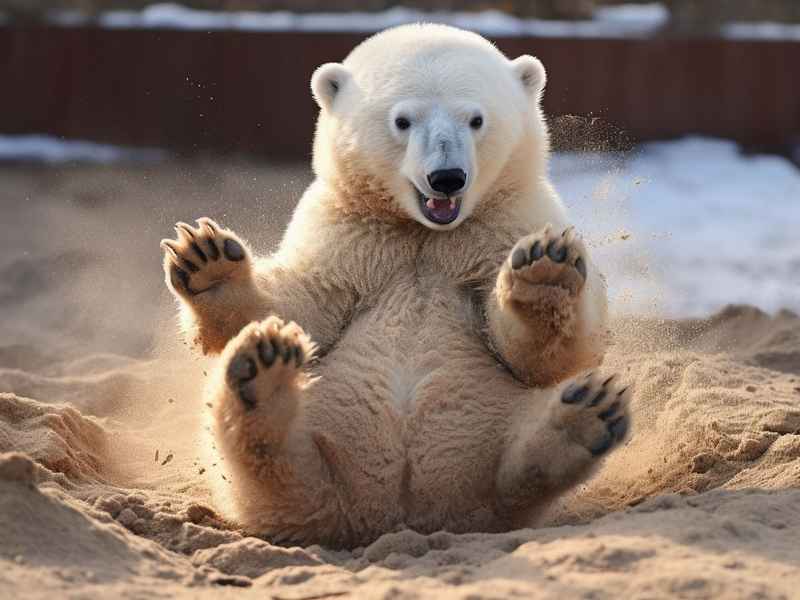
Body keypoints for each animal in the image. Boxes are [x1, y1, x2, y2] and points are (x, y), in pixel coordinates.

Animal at [160, 23, 630, 548]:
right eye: (403, 120)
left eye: (476, 119)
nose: (446, 178)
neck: (424, 233)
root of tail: (394, 514)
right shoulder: (349, 239)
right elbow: (298, 302)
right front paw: (209, 260)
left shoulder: (505, 224)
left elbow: (549, 355)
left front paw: (548, 268)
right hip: (317, 445)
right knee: (272, 465)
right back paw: (262, 376)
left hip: (492, 431)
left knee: (514, 465)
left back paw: (580, 420)